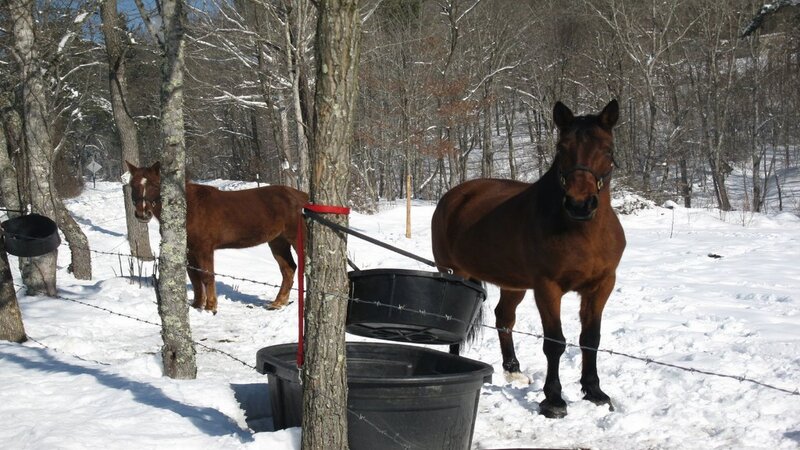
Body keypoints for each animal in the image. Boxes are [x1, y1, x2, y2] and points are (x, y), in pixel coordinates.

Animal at [125, 161, 309, 313]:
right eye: (133, 185)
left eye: (154, 185)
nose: (142, 213)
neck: (190, 207)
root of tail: (303, 197)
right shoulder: (190, 250)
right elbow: (194, 276)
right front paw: (197, 305)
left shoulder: (204, 249)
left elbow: (207, 276)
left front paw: (210, 307)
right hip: (278, 241)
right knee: (288, 269)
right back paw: (277, 303)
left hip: (296, 239)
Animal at [431, 100, 625, 419]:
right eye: (561, 147)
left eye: (607, 149)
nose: (579, 204)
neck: (581, 232)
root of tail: (456, 195)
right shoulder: (548, 288)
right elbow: (555, 343)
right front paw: (554, 400)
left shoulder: (601, 286)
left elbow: (590, 339)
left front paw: (595, 392)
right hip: (453, 273)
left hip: (513, 285)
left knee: (504, 318)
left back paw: (513, 369)